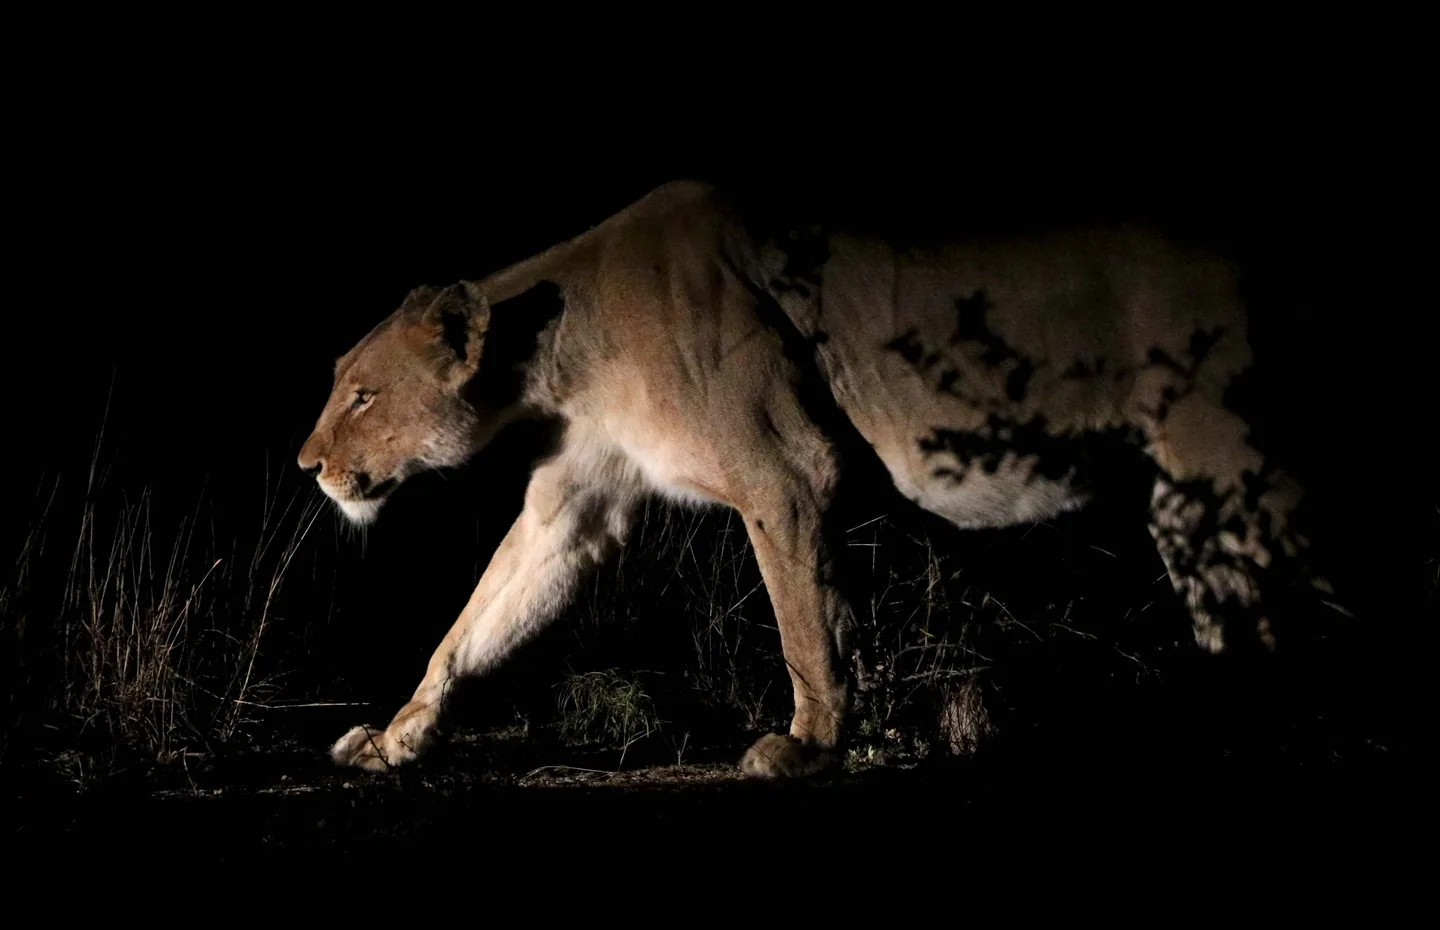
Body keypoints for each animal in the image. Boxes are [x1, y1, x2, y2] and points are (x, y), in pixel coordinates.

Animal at [297, 179, 1332, 778]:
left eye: (361, 393)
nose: (308, 466)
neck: (562, 354)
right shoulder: (578, 503)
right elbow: (476, 622)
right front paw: (393, 739)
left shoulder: (788, 469)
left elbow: (804, 624)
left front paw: (808, 744)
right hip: (1191, 507)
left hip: (1238, 461)